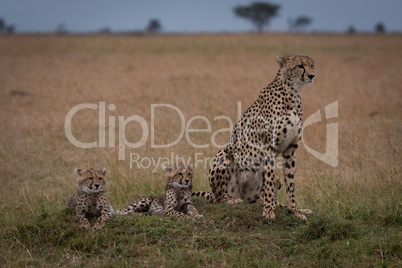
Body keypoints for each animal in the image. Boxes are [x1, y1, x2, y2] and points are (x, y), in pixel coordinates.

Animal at [209, 55, 316, 222]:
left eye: (312, 65)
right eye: (300, 66)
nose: (311, 76)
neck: (292, 94)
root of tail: (241, 195)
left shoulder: (290, 151)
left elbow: (290, 183)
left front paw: (294, 211)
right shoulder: (269, 147)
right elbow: (271, 181)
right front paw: (268, 212)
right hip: (224, 156)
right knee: (220, 197)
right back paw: (232, 200)